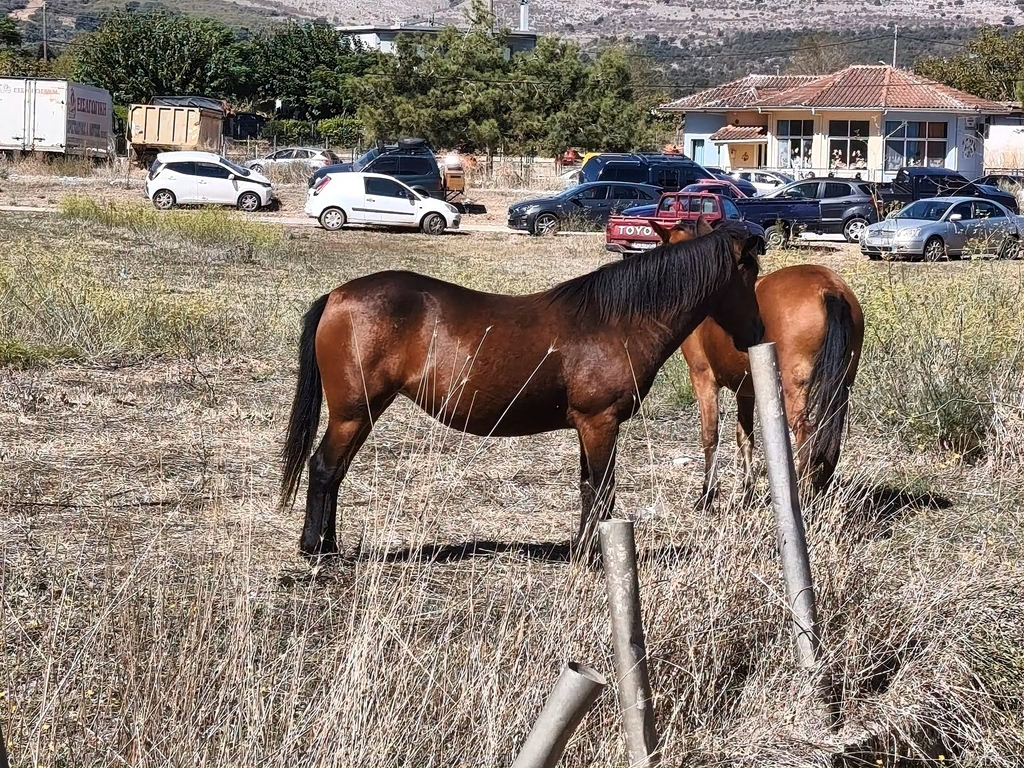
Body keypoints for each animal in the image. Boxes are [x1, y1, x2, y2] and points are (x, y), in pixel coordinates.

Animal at [280, 221, 765, 564]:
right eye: (750, 273)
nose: (757, 334)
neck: (617, 321)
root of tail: (337, 295)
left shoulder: (588, 426)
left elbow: (588, 488)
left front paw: (582, 550)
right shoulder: (600, 422)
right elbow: (602, 489)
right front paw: (595, 557)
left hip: (363, 411)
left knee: (335, 471)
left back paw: (329, 545)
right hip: (353, 411)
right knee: (324, 468)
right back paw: (317, 550)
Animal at [649, 216, 864, 507]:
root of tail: (829, 289)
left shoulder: (703, 378)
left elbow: (710, 435)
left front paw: (707, 494)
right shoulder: (746, 389)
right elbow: (744, 436)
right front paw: (747, 492)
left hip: (794, 391)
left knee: (807, 437)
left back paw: (803, 496)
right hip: (841, 385)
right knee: (831, 438)